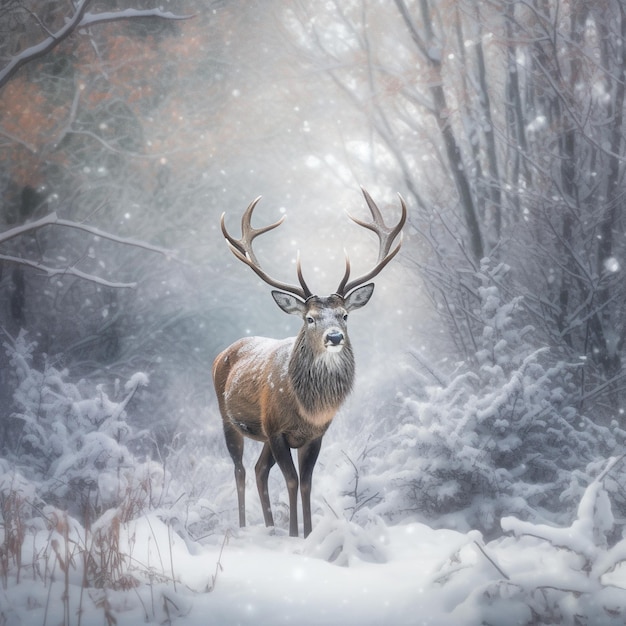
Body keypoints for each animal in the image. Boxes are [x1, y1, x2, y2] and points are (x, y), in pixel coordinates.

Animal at [210, 186, 404, 536]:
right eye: (310, 318)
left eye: (344, 315)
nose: (335, 337)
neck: (307, 407)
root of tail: (224, 353)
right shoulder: (275, 429)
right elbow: (290, 480)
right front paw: (293, 534)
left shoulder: (314, 435)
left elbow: (306, 484)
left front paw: (309, 533)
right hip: (228, 419)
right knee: (241, 470)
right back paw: (246, 527)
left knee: (259, 469)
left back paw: (269, 527)